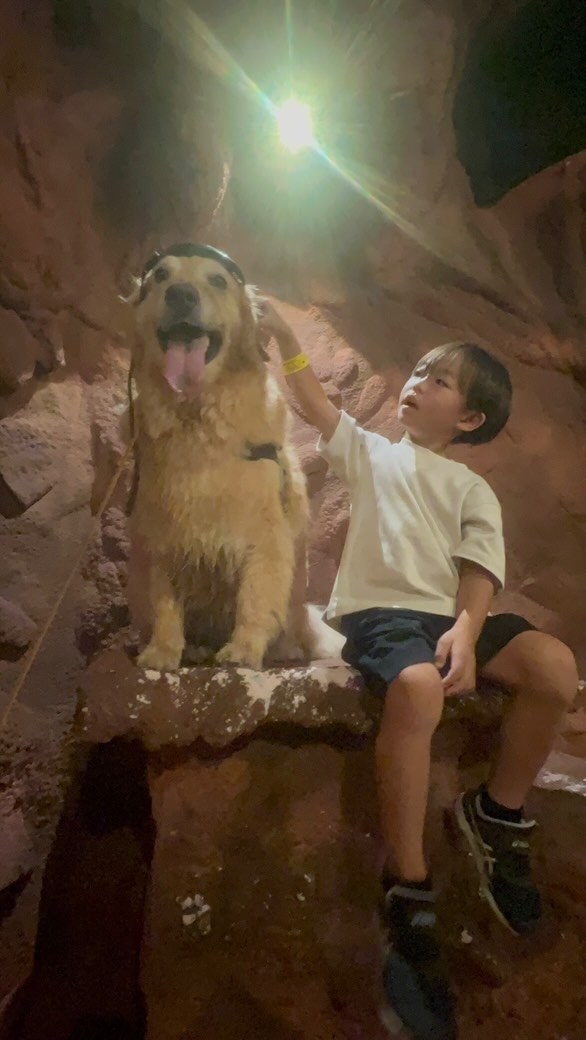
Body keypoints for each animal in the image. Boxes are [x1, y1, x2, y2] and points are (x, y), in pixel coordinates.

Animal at [125, 242, 313, 672]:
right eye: (161, 276)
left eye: (217, 280)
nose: (181, 295)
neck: (197, 417)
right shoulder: (162, 534)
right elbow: (165, 604)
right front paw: (163, 651)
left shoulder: (264, 535)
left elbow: (257, 597)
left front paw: (244, 648)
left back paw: (284, 648)